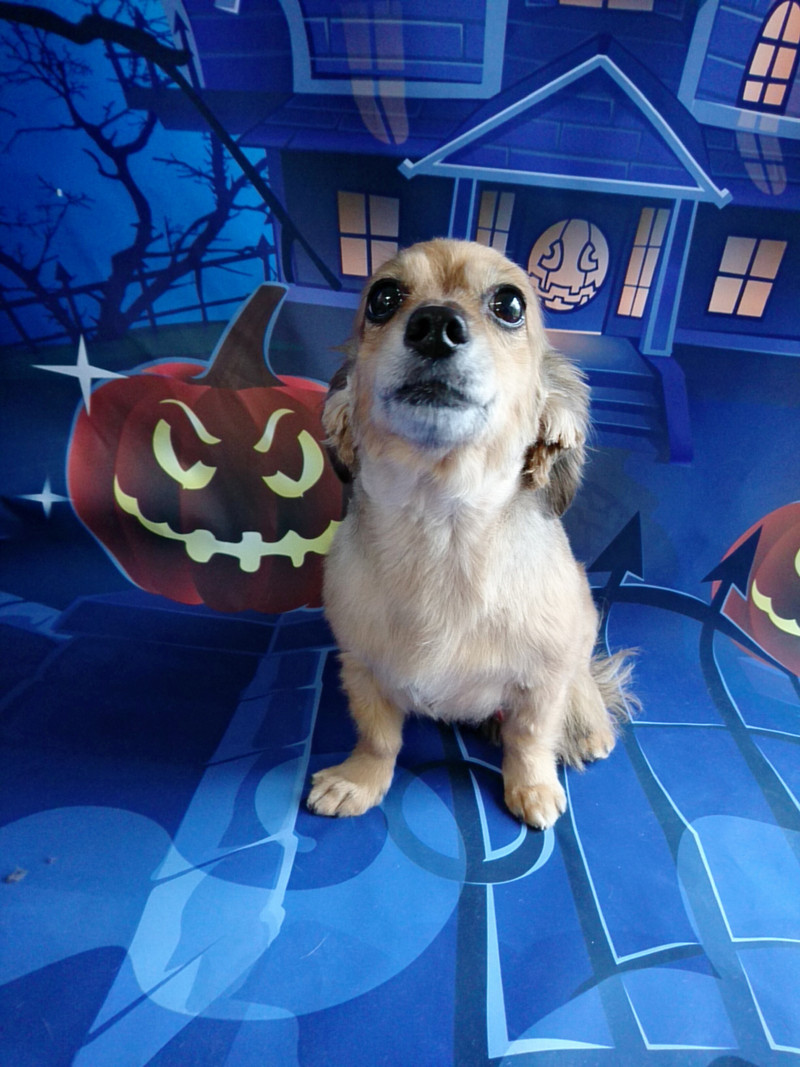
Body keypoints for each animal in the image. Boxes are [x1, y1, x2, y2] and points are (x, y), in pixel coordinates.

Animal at [307, 238, 634, 830]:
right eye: (382, 298)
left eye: (510, 304)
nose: (435, 325)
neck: (444, 526)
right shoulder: (362, 667)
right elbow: (378, 736)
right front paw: (359, 781)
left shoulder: (544, 676)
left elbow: (530, 737)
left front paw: (532, 788)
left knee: (578, 682)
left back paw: (585, 724)